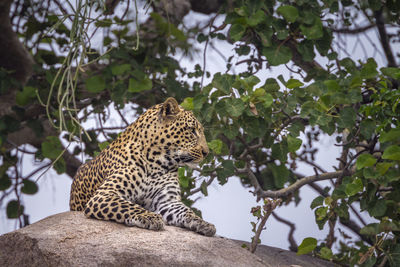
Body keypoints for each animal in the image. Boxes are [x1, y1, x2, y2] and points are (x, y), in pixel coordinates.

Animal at [70, 98, 217, 237]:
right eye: (192, 131)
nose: (206, 152)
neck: (158, 162)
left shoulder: (166, 202)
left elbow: (186, 211)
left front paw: (204, 223)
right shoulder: (104, 195)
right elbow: (128, 206)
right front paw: (150, 217)